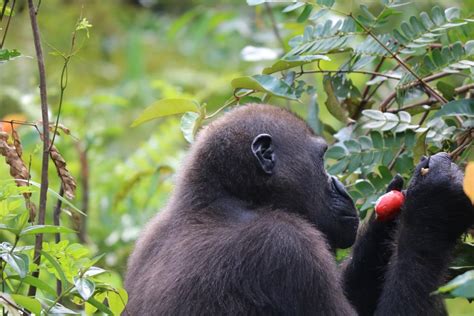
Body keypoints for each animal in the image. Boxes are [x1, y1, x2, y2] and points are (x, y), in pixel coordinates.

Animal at [124, 103, 472, 314]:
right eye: (321, 159)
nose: (340, 186)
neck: (226, 200)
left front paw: (385, 224)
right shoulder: (287, 247)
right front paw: (433, 208)